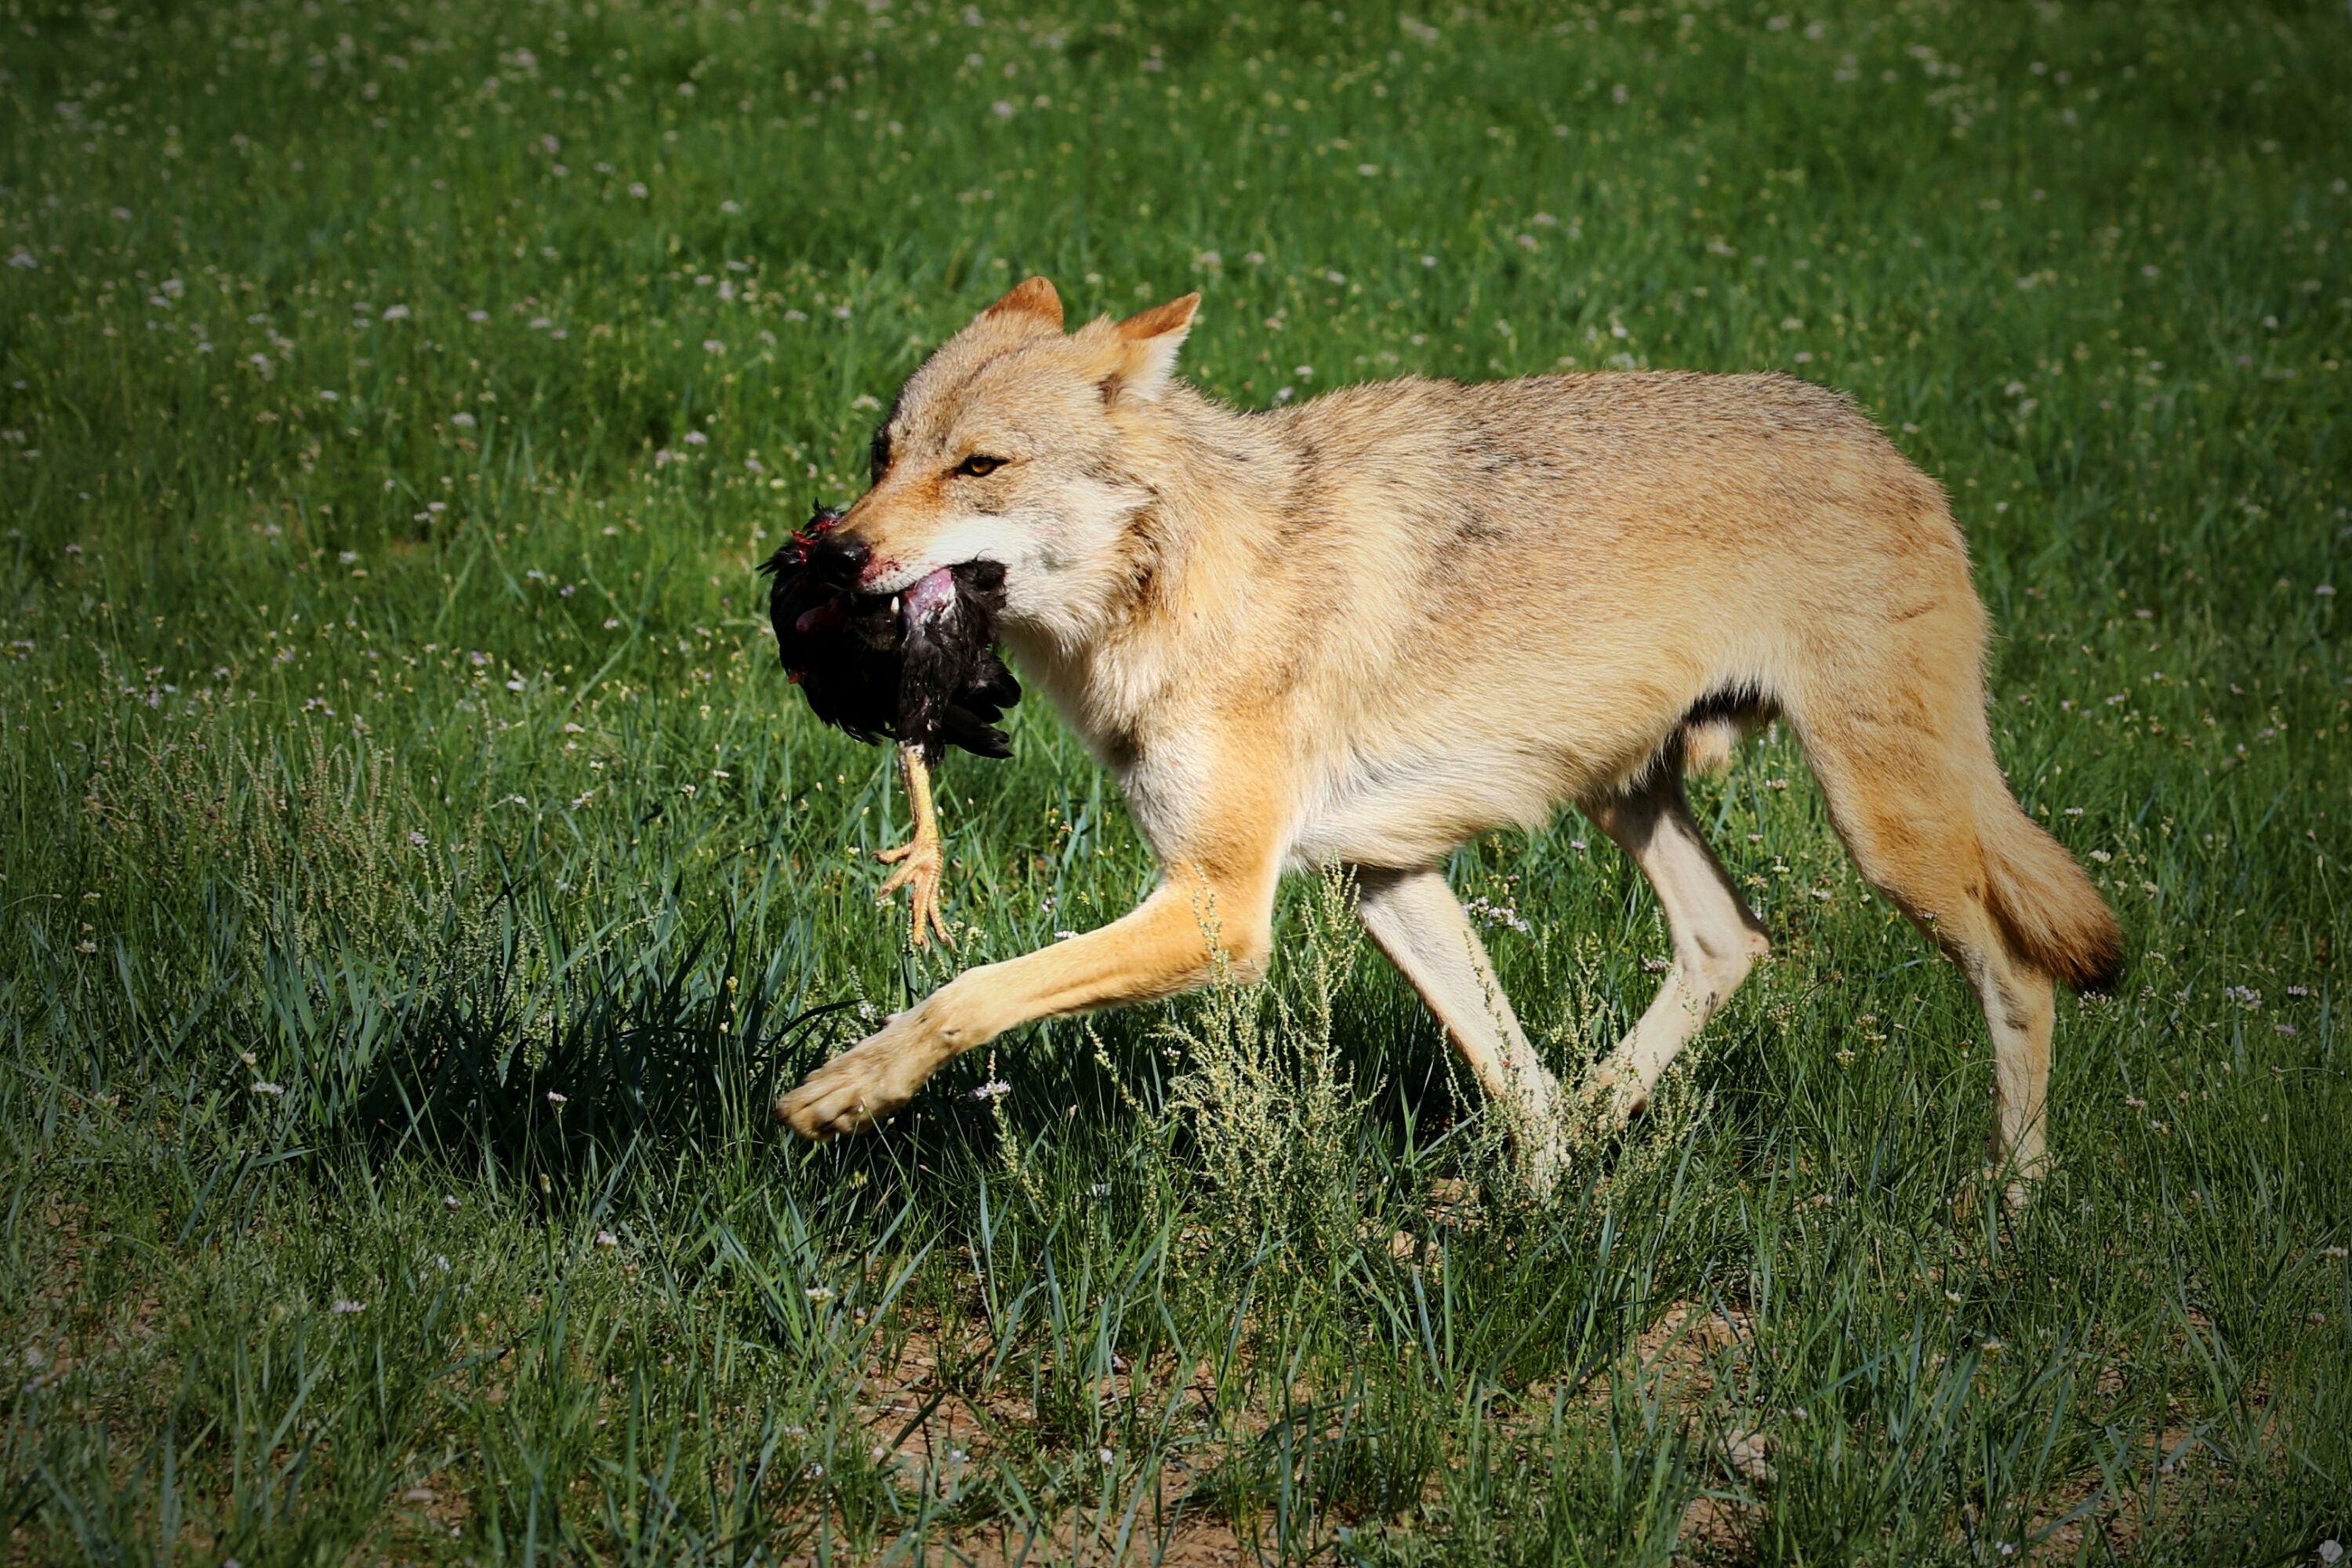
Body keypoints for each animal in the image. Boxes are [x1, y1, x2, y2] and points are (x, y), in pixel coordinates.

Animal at [776, 276, 2136, 1194]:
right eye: (884, 453)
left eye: (979, 466)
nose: (832, 557)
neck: (1187, 577)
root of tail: (1896, 450)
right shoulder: (1386, 875)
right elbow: (1510, 1077)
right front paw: (1532, 1208)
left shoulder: (1223, 912)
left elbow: (967, 992)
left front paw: (848, 1089)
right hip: (1628, 798)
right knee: (1728, 943)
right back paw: (1601, 1120)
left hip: (1885, 832)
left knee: (2017, 974)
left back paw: (2011, 1209)